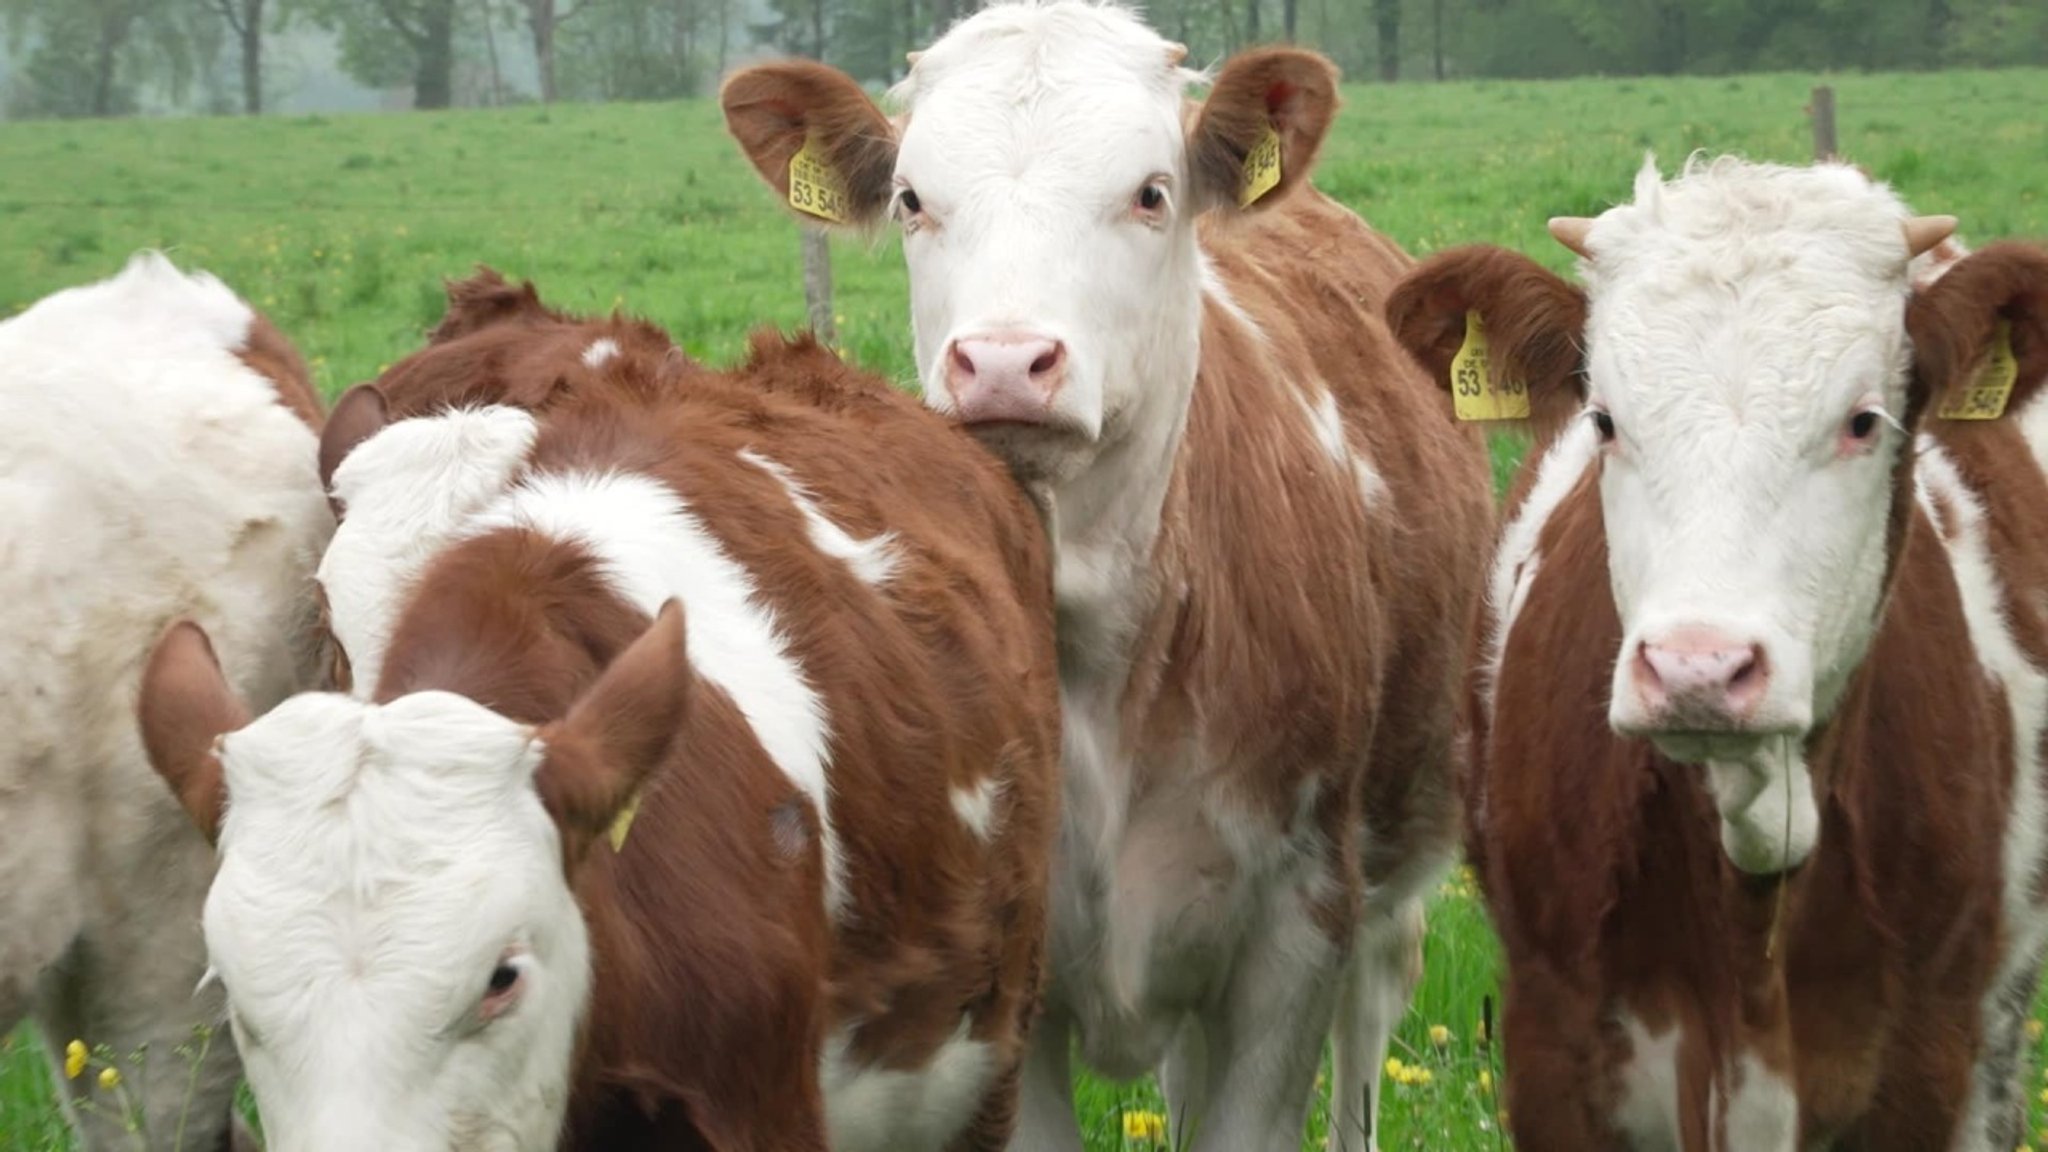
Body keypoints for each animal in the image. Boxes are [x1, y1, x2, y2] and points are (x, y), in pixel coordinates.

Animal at [720, 4, 1490, 1139]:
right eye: (911, 199)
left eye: (1149, 192)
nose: (1002, 363)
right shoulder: (1002, 989)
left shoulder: (1294, 940)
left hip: (1391, 877)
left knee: (1367, 1032)